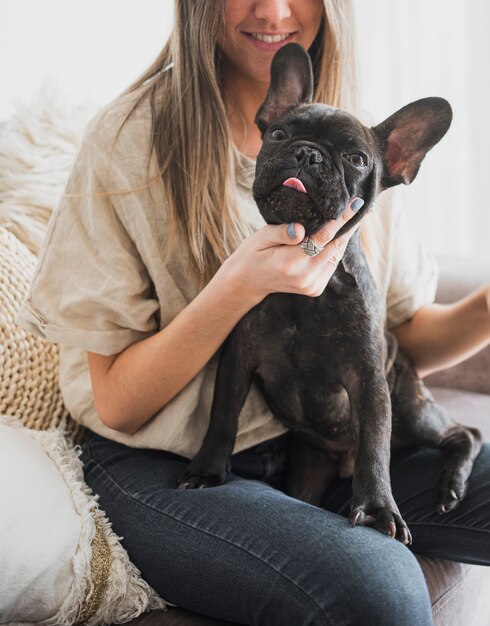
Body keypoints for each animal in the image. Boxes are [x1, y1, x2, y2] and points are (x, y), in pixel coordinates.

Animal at [177, 42, 482, 540]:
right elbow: (222, 417)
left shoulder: (369, 380)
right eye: (277, 133)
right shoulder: (238, 358)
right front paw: (206, 469)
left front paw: (377, 507)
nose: (307, 154)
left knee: (465, 434)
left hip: (411, 407)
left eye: (357, 159)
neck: (303, 291)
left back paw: (451, 487)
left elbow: (375, 443)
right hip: (310, 469)